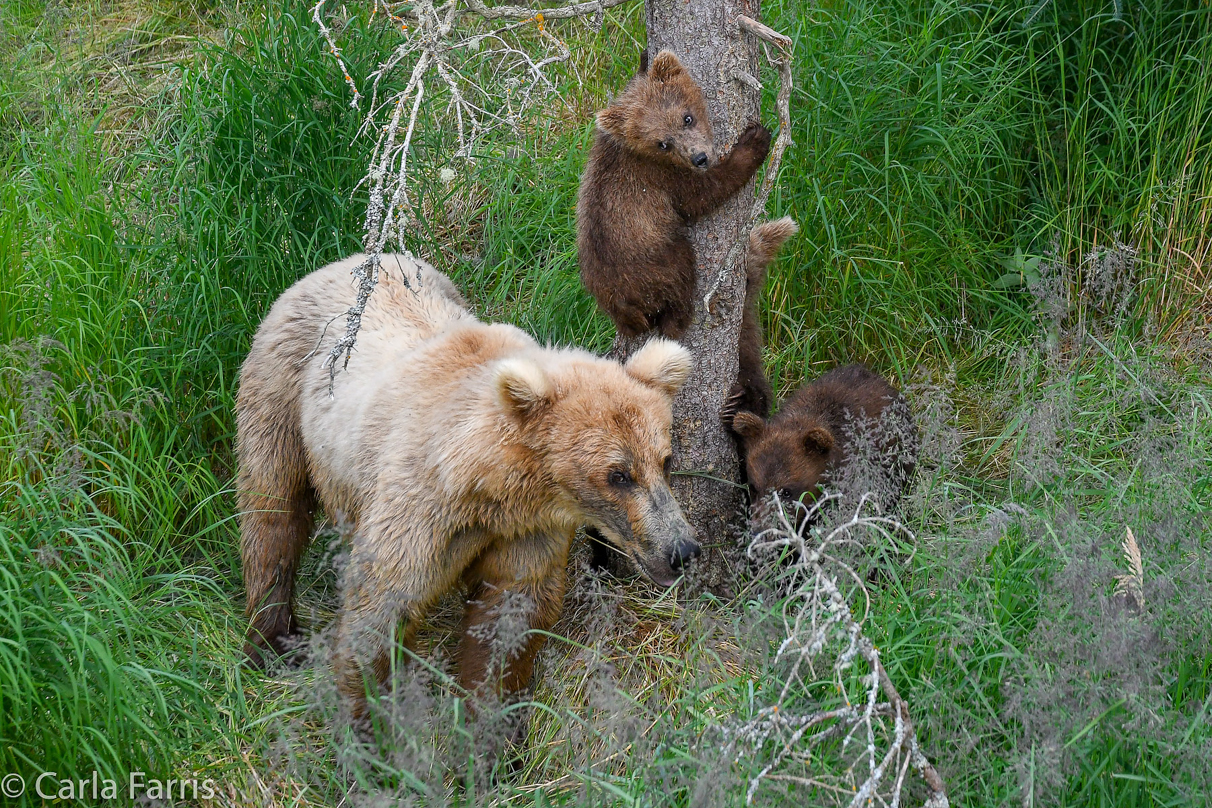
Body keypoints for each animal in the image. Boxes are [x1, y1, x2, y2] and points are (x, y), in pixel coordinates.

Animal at [236, 254, 698, 721]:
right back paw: (273, 639)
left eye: (665, 461)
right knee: (272, 509)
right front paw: (369, 720)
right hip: (283, 386)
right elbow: (382, 605)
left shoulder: (525, 531)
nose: (682, 550)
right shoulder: (420, 511)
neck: (485, 484)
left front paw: (488, 720)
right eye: (618, 475)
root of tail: (346, 260)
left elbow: (508, 616)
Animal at [574, 48, 765, 339]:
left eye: (687, 117)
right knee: (680, 277)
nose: (700, 158)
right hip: (657, 260)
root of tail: (621, 305)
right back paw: (681, 318)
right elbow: (703, 195)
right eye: (663, 143)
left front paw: (644, 59)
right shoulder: (660, 177)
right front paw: (754, 142)